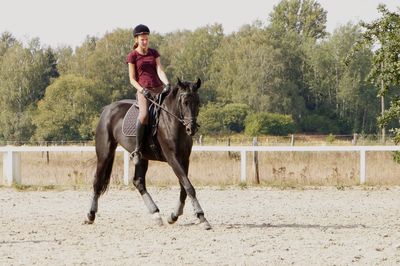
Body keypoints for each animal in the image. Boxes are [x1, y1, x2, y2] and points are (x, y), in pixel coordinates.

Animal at [85, 77, 211, 229]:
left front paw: (173, 216)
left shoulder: (185, 159)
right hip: (104, 153)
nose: (191, 128)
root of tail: (107, 109)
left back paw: (155, 214)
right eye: (184, 102)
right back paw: (90, 215)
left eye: (198, 102)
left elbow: (184, 187)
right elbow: (188, 186)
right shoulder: (172, 158)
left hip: (142, 158)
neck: (172, 122)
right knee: (97, 180)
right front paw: (202, 217)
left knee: (138, 182)